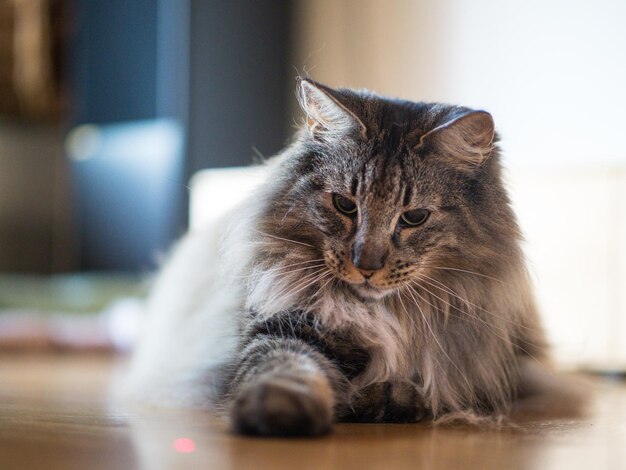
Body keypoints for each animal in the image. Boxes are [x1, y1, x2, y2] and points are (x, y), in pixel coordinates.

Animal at [122, 78, 572, 436]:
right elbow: (282, 365)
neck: (382, 314)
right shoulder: (283, 326)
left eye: (413, 217)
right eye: (344, 205)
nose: (367, 266)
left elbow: (422, 390)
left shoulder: (495, 371)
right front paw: (281, 407)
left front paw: (383, 398)